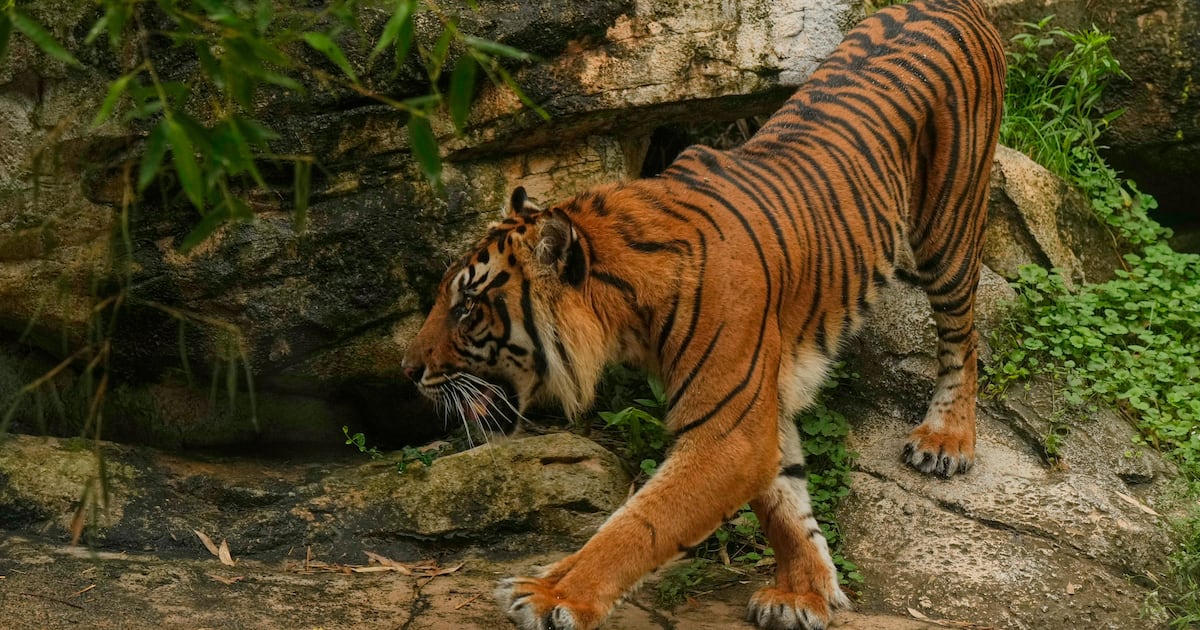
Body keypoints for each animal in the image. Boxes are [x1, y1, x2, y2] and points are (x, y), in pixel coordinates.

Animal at [401, 0, 1004, 627]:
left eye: (468, 308)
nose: (407, 370)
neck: (626, 308)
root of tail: (953, 6)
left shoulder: (727, 430)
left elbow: (640, 522)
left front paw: (551, 595)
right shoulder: (761, 404)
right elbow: (786, 505)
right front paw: (804, 593)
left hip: (949, 229)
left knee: (964, 337)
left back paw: (945, 440)